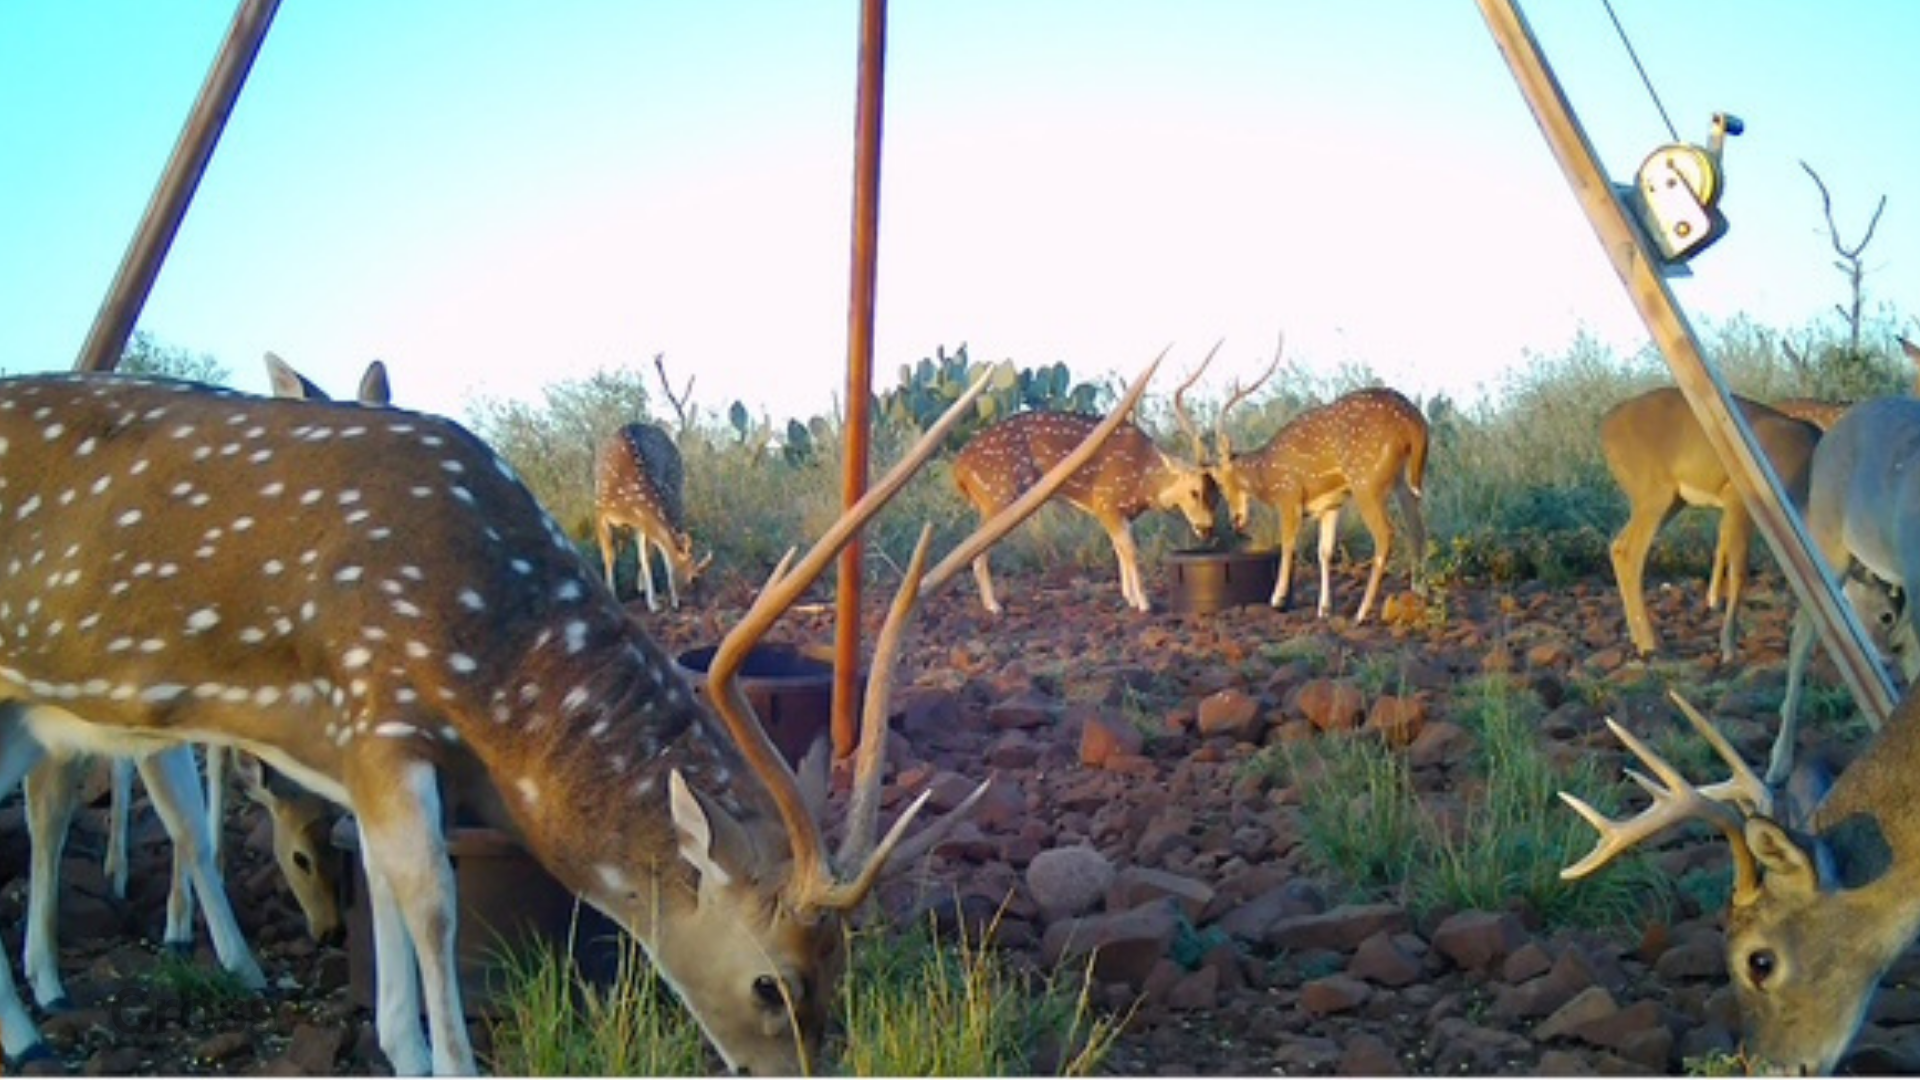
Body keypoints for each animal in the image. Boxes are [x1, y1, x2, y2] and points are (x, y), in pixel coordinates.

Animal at [594, 420, 709, 612]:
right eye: (694, 577)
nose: (701, 604)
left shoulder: (640, 522)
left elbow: (645, 556)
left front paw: (653, 604)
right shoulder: (599, 512)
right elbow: (609, 555)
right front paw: (613, 597)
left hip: (676, 489)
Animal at [950, 351, 1217, 614]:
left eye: (1216, 495)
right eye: (1194, 492)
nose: (1206, 529)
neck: (1143, 484)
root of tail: (959, 469)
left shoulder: (1118, 513)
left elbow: (1119, 549)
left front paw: (1129, 597)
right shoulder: (1105, 500)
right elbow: (1129, 550)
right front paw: (1143, 604)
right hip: (998, 496)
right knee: (975, 552)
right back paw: (994, 606)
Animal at [1206, 356, 1429, 623]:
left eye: (1219, 482)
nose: (1235, 520)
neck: (1266, 475)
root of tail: (1416, 424)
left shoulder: (1288, 495)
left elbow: (1288, 543)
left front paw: (1277, 599)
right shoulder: (1331, 503)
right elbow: (1324, 551)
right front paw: (1324, 609)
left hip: (1366, 482)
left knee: (1386, 534)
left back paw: (1362, 612)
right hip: (1401, 480)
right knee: (1417, 527)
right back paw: (1420, 593)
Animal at [1599, 386, 1822, 666]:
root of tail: (1606, 423)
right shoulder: (1739, 498)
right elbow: (1739, 571)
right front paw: (1728, 648)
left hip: (1673, 499)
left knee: (1619, 547)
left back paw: (1641, 640)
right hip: (1653, 492)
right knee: (1629, 552)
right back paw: (1650, 644)